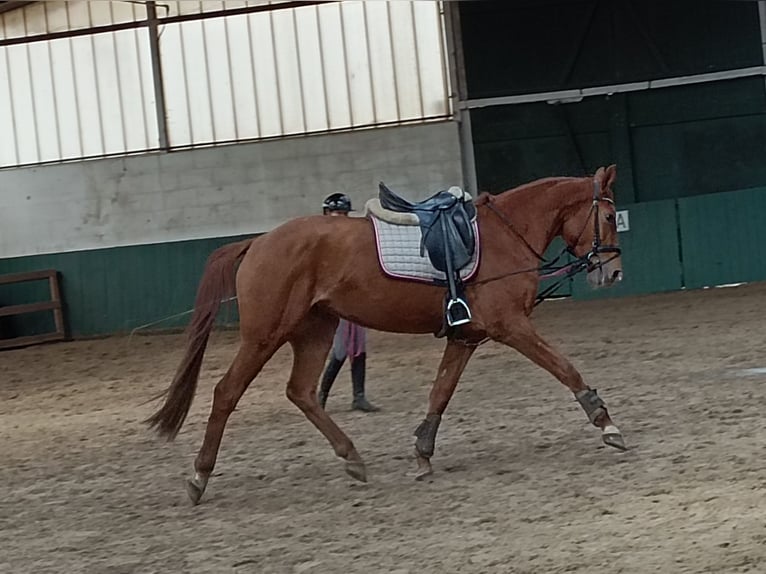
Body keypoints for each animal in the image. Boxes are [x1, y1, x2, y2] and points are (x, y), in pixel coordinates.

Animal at [146, 165, 624, 505]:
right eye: (607, 216)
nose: (614, 273)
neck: (506, 235)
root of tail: (257, 243)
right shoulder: (511, 326)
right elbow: (563, 367)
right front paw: (606, 423)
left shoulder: (466, 337)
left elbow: (440, 392)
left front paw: (423, 453)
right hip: (265, 335)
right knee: (227, 392)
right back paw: (199, 477)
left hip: (315, 329)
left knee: (301, 391)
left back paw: (352, 458)